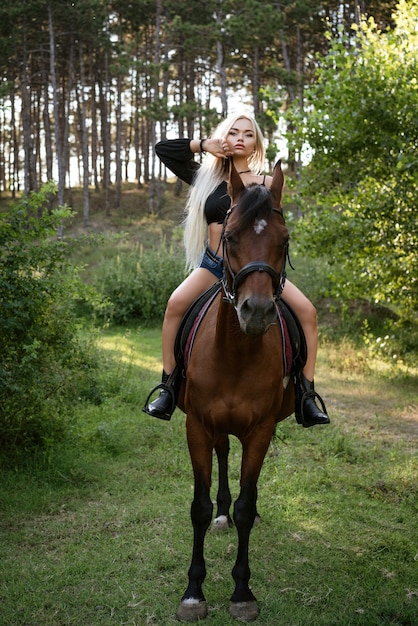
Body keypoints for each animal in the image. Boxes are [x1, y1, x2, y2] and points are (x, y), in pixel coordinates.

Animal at [176, 160, 294, 620]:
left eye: (284, 240)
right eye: (230, 237)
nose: (257, 312)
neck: (235, 354)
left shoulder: (261, 431)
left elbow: (246, 505)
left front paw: (242, 591)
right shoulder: (197, 427)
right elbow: (199, 507)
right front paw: (193, 592)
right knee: (224, 453)